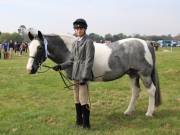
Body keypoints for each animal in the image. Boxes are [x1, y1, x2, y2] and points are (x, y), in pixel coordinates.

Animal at [26, 30, 160, 116]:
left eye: (39, 48)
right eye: (28, 47)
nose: (29, 69)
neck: (71, 50)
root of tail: (146, 43)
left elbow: (82, 99)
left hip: (144, 74)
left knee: (151, 90)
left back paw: (149, 113)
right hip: (133, 74)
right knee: (135, 91)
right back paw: (128, 111)